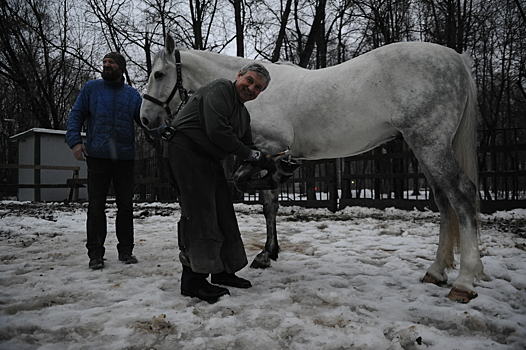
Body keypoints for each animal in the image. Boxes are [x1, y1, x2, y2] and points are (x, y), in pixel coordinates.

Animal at [140, 35, 486, 304]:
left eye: (158, 74)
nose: (145, 119)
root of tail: (456, 58)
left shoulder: (268, 146)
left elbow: (244, 182)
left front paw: (277, 181)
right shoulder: (264, 150)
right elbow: (269, 204)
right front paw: (268, 253)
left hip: (430, 143)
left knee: (462, 195)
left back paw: (463, 283)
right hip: (424, 147)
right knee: (443, 200)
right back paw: (436, 271)